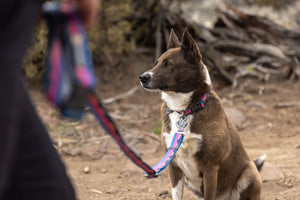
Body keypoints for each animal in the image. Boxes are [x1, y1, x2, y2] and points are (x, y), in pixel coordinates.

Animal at [139, 28, 264, 200]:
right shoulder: (174, 166)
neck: (184, 110)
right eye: (156, 63)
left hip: (249, 173)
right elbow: (176, 195)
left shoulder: (210, 167)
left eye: (168, 64)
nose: (142, 77)